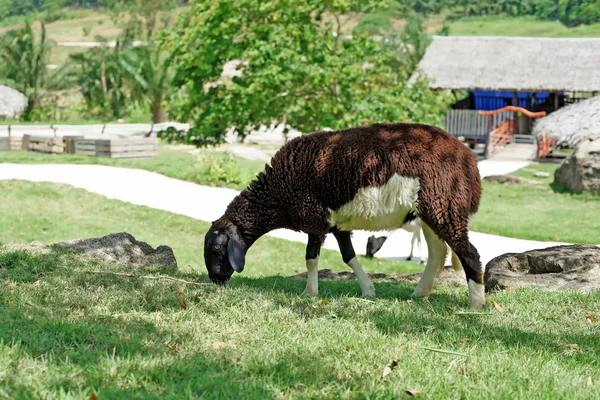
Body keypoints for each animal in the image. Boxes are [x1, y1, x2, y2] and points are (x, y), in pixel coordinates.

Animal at [204, 122, 486, 310]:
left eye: (217, 249)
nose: (215, 281)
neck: (277, 192)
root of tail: (469, 159)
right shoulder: (335, 224)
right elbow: (349, 256)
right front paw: (368, 290)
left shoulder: (315, 219)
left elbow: (310, 258)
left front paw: (309, 293)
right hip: (431, 211)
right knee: (438, 253)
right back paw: (419, 294)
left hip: (444, 205)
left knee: (470, 254)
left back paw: (476, 303)